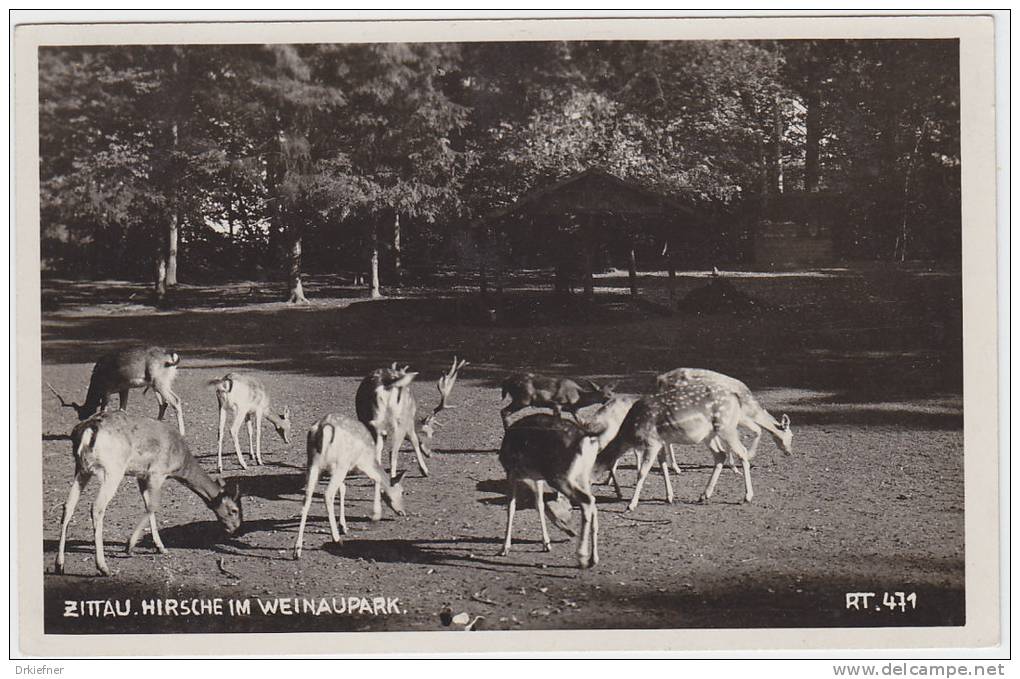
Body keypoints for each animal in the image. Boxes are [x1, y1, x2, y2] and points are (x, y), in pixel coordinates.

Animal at [46, 344, 186, 434]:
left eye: (82, 412)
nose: (81, 419)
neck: (96, 381)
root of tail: (173, 356)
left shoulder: (106, 390)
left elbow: (104, 410)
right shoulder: (124, 388)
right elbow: (122, 409)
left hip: (159, 381)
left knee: (175, 400)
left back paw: (182, 433)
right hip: (159, 383)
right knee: (164, 403)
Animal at [55, 407, 244, 575]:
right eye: (234, 510)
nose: (236, 529)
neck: (180, 463)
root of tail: (88, 430)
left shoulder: (142, 475)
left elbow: (148, 506)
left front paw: (160, 547)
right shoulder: (157, 473)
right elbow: (153, 506)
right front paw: (129, 546)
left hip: (81, 469)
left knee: (68, 506)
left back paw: (59, 565)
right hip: (112, 470)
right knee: (96, 507)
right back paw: (103, 567)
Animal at [497, 411, 599, 566]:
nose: (570, 531)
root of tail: (586, 439)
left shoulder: (511, 471)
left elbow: (511, 507)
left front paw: (504, 548)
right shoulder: (537, 477)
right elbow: (539, 504)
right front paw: (546, 543)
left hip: (559, 475)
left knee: (587, 500)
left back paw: (581, 556)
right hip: (583, 475)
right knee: (593, 500)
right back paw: (594, 558)